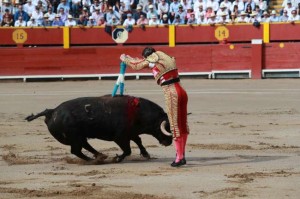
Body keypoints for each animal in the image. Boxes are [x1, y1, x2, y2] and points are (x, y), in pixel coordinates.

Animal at [25, 95, 173, 163]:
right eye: (165, 128)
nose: (170, 142)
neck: (138, 112)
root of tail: (52, 111)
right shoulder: (120, 137)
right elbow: (128, 150)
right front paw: (117, 159)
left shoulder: (130, 134)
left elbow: (139, 141)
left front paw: (146, 154)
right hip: (75, 138)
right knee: (76, 150)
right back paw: (94, 160)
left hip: (80, 137)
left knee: (84, 146)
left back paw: (100, 155)